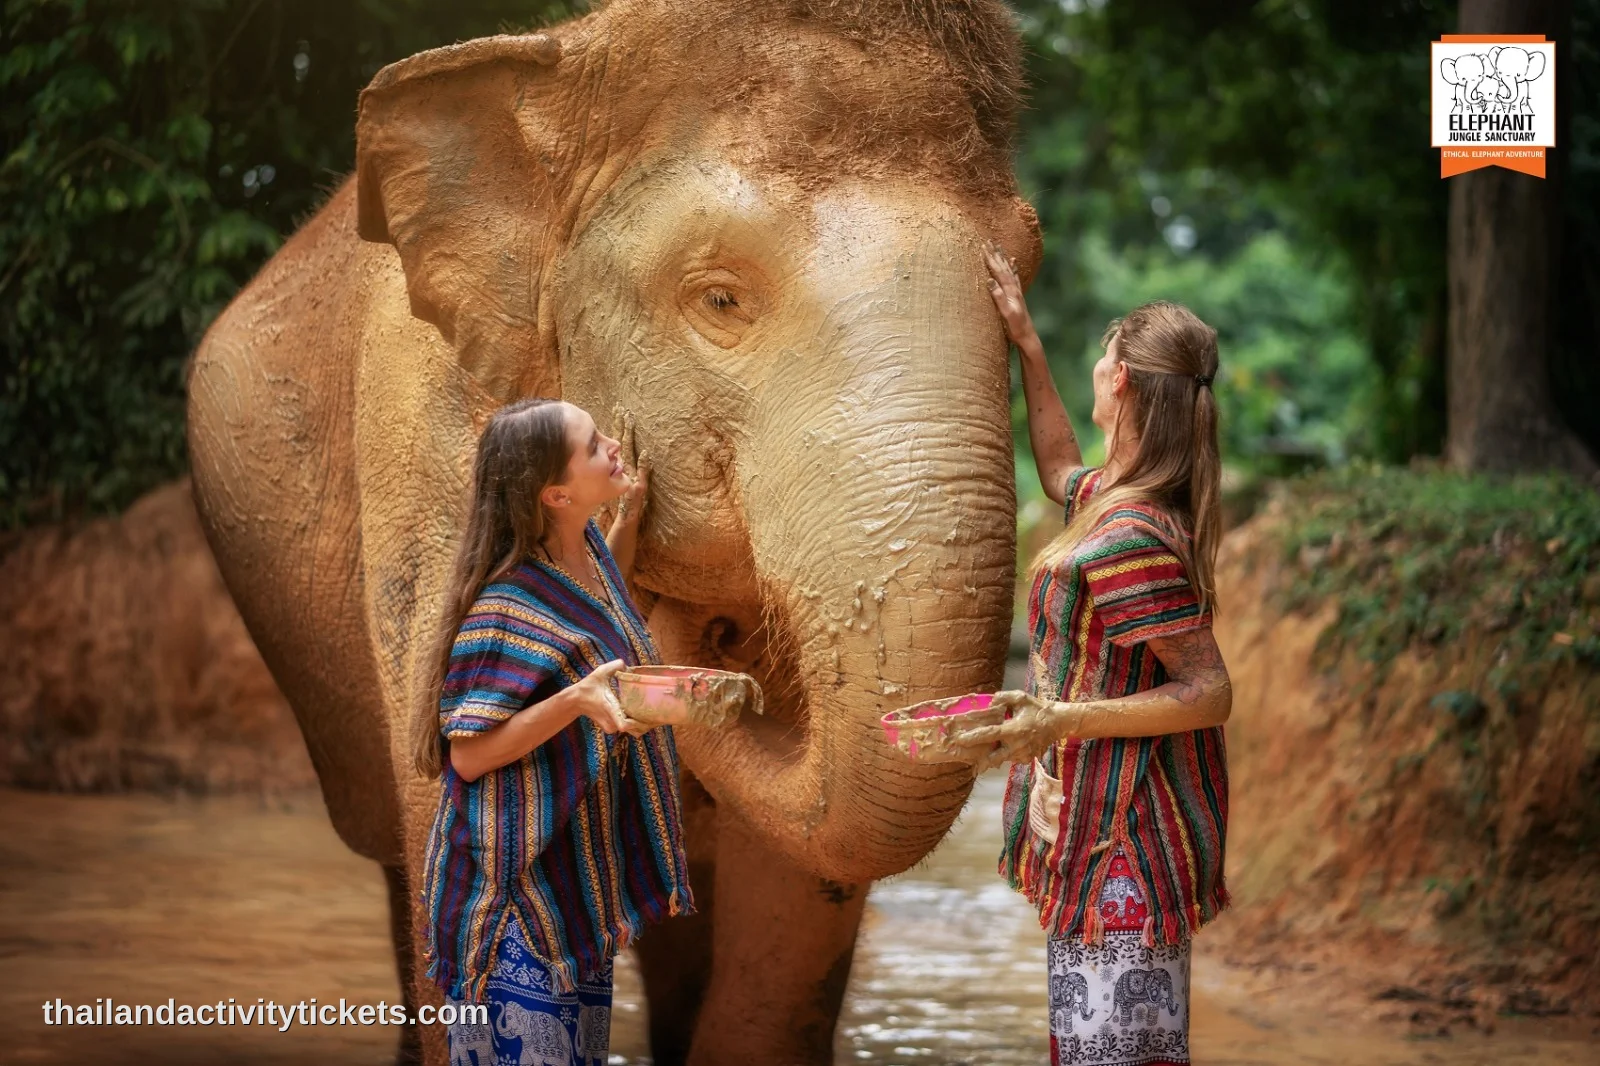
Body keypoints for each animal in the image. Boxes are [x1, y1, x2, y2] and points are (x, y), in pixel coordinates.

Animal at [185, 1, 1039, 1064]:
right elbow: (449, 781)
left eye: (1022, 276)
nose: (710, 648)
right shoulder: (424, 432)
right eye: (719, 297)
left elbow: (801, 892)